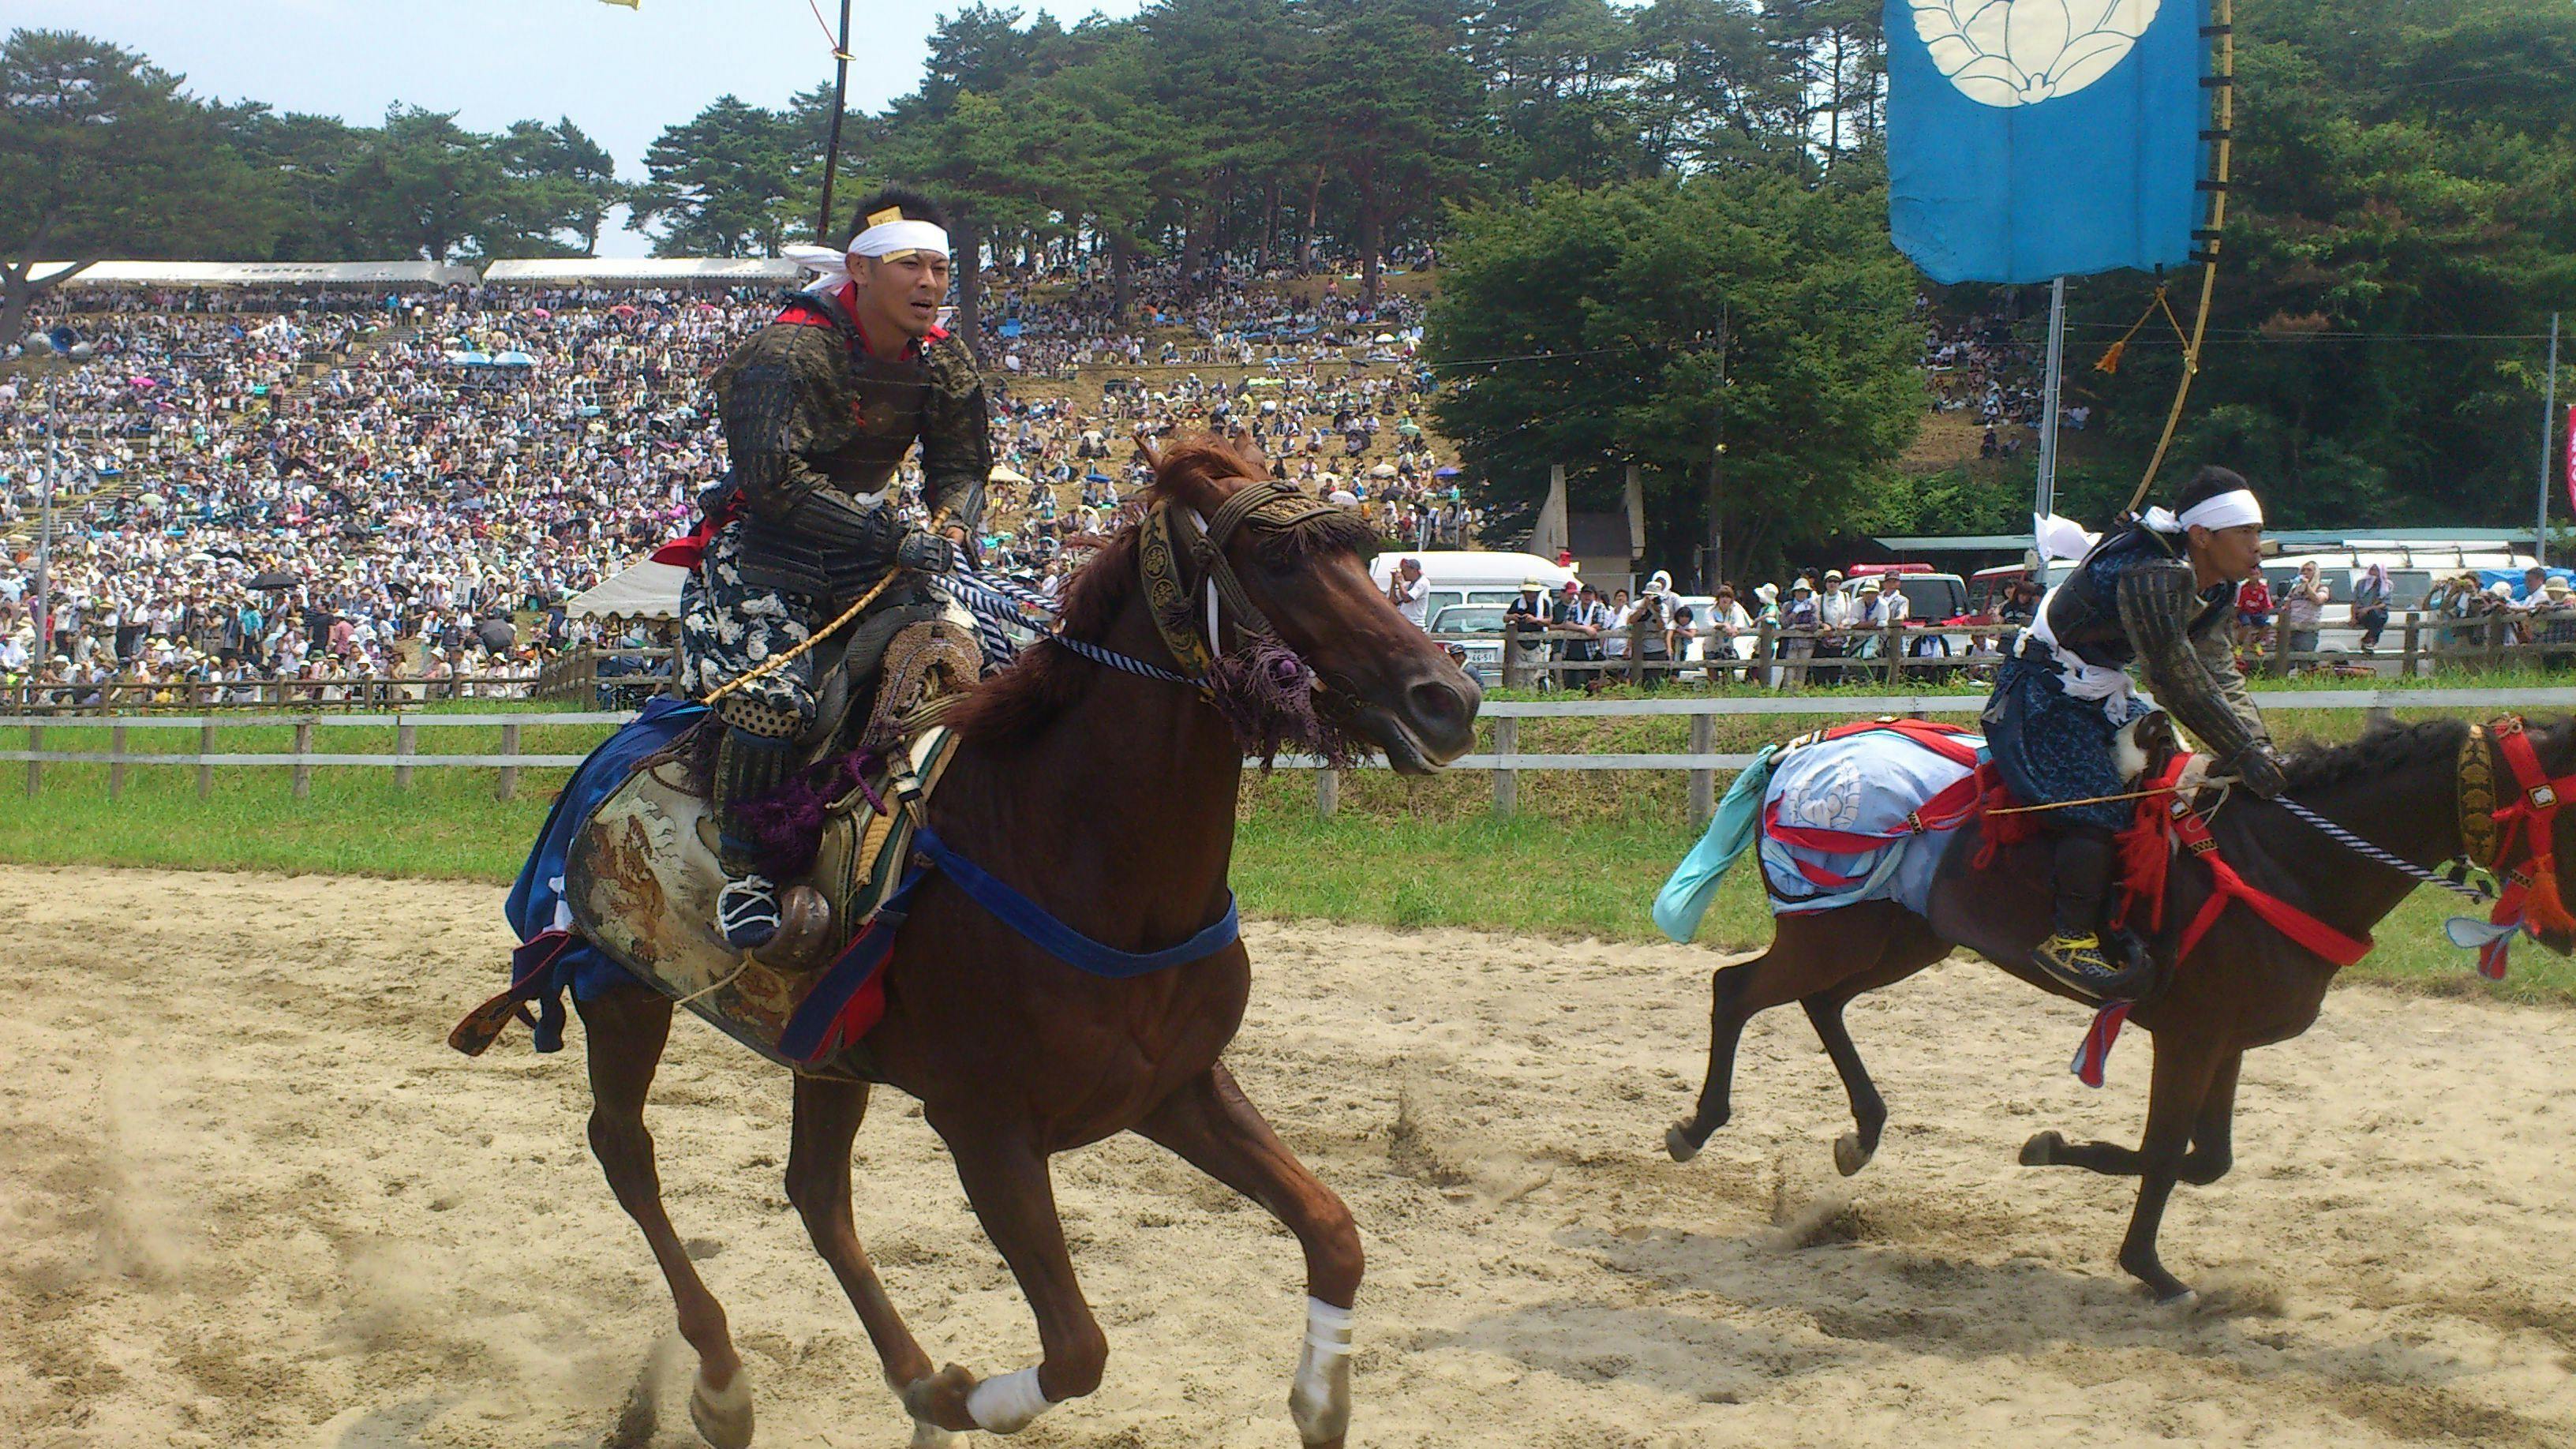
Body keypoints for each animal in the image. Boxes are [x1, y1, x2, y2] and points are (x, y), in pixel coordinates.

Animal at [574, 440, 1484, 1443]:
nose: (1449, 697)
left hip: (823, 1051)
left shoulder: (1176, 1089)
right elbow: (1078, 1350)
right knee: (627, 1154)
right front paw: (963, 1397)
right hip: (617, 992)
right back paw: (724, 1378)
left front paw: (1322, 1397)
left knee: (817, 1196)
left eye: (1364, 554)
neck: (1076, 856)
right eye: (1281, 560)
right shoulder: (987, 1132)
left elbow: (1334, 1231)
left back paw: (903, 1376)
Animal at [1659, 711, 2565, 1299]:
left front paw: (2053, 1148)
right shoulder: (2192, 1037)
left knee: (1821, 1003)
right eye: (2566, 811)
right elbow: (2166, 1152)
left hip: (1897, 936)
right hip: (1840, 932)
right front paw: (2153, 1272)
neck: (2282, 862)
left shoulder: (2226, 1041)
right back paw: (1699, 1127)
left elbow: (2208, 1159)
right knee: (1736, 990)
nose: (2563, 933)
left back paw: (1862, 1133)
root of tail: (1804, 753)